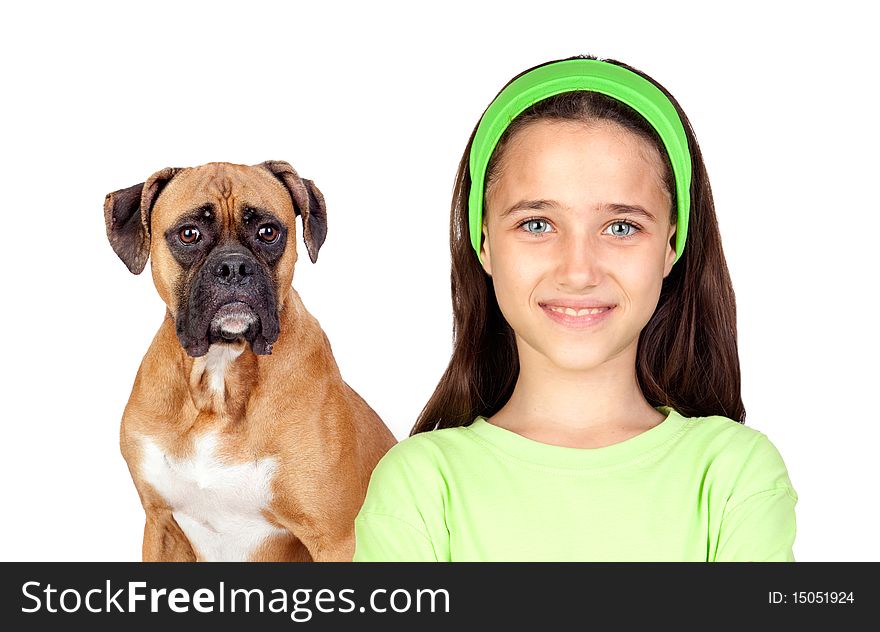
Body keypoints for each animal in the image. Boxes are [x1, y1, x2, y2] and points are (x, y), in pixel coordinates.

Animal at [101, 160, 398, 560]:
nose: (233, 267)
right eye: (189, 234)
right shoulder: (161, 524)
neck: (219, 378)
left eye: (268, 232)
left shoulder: (335, 539)